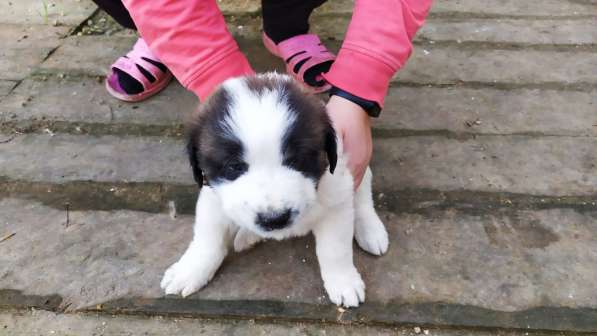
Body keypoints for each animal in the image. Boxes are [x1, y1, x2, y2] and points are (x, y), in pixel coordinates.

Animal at [161, 73, 388, 308]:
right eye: (234, 167)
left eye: (297, 160)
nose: (275, 219)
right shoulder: (213, 199)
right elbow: (207, 239)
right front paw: (190, 270)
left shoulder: (337, 199)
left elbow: (335, 250)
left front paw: (343, 282)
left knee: (363, 197)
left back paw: (370, 230)